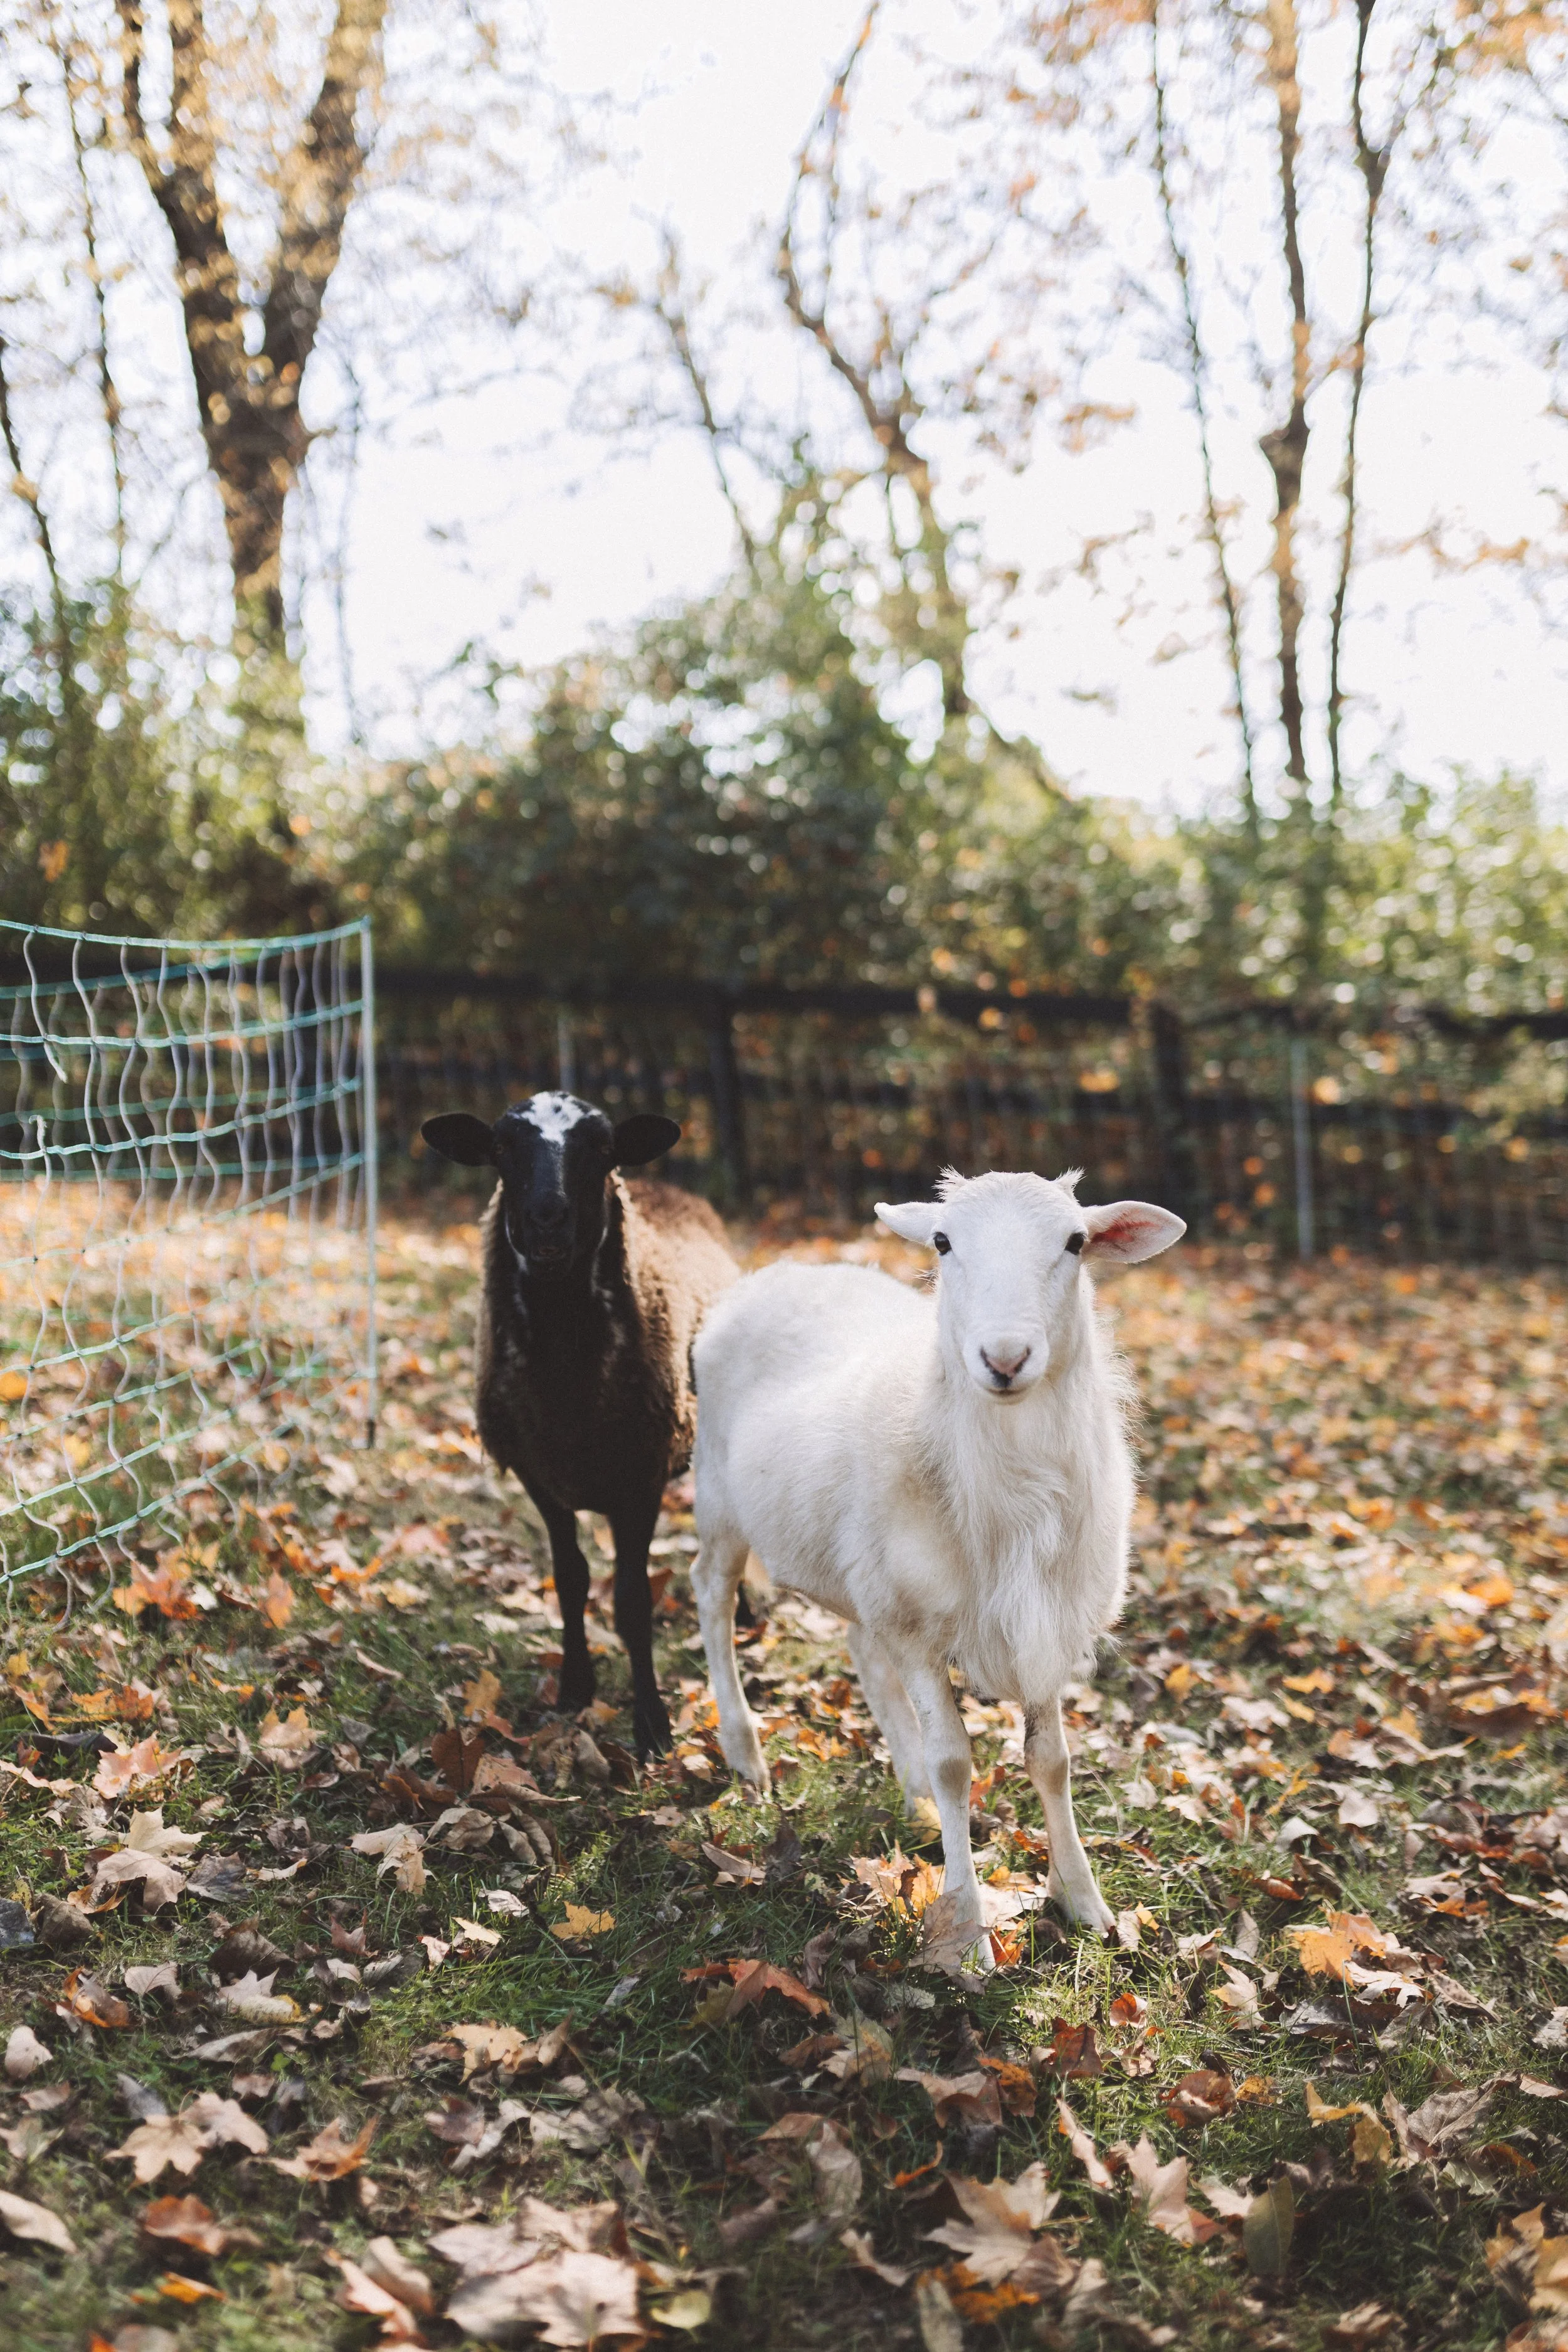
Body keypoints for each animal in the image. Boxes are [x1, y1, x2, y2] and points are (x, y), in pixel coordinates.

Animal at [421, 1093, 737, 1755]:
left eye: (602, 1149)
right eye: (503, 1147)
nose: (547, 1218)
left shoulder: (640, 1479)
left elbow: (632, 1601)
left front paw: (652, 1725)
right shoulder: (539, 1475)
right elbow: (570, 1580)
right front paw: (573, 1690)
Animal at [690, 1168, 1183, 1943]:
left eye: (1076, 1242)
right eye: (945, 1242)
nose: (1005, 1359)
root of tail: (781, 1270)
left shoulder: (1040, 1622)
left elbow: (1052, 1762)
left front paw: (1083, 1902)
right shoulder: (920, 1633)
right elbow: (955, 1763)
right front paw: (967, 1930)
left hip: (868, 1570)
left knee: (862, 1651)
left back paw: (913, 1793)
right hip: (718, 1499)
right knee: (710, 1595)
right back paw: (745, 1753)